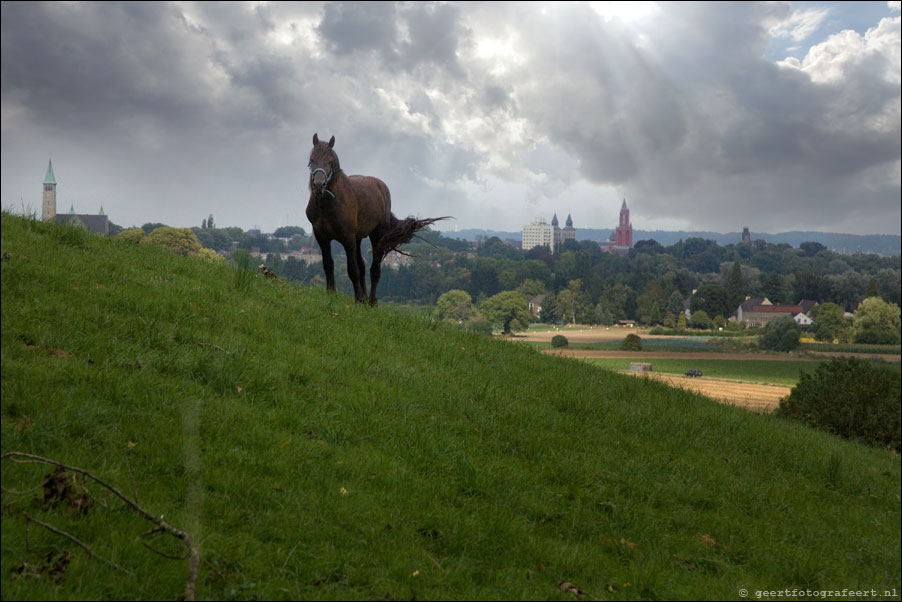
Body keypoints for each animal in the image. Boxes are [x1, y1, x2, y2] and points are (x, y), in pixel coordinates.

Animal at [308, 135, 448, 304]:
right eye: (312, 160)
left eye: (330, 162)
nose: (318, 185)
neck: (328, 205)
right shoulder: (322, 237)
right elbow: (328, 265)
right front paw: (331, 294)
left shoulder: (348, 238)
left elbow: (352, 270)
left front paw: (358, 299)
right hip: (358, 238)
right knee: (362, 266)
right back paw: (365, 298)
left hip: (376, 236)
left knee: (374, 268)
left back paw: (371, 301)